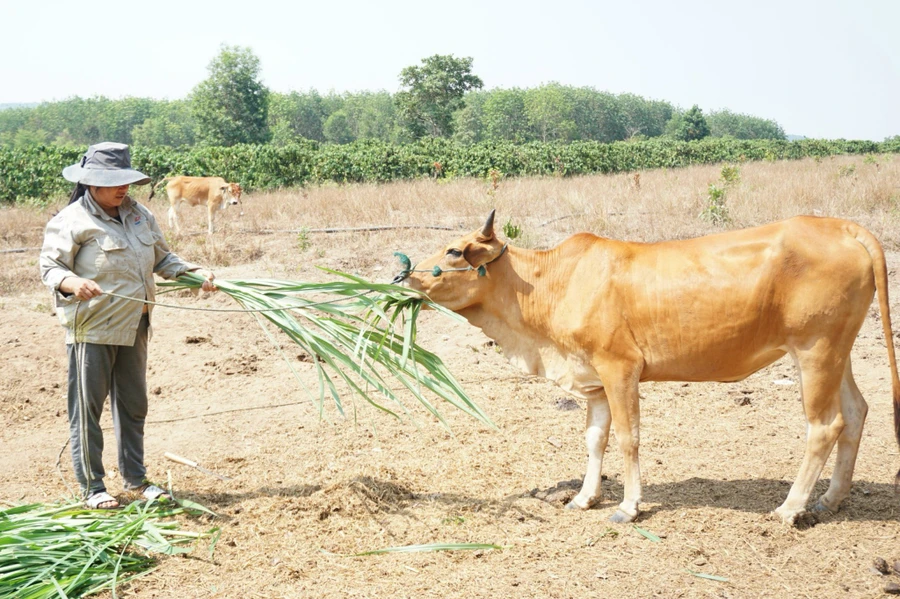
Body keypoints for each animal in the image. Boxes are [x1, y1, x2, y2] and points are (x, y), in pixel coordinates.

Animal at [400, 211, 900, 524]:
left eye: (453, 252)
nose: (403, 276)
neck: (551, 285)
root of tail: (845, 228)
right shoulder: (594, 379)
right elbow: (594, 439)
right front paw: (584, 497)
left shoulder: (620, 369)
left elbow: (627, 438)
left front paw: (629, 506)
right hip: (837, 352)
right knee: (856, 412)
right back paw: (829, 500)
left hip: (815, 351)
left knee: (824, 425)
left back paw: (789, 508)